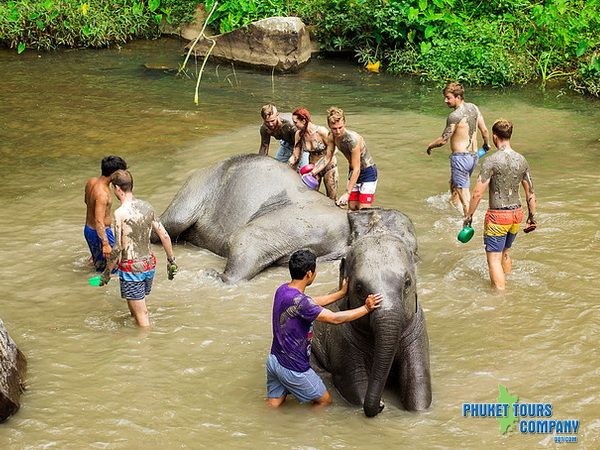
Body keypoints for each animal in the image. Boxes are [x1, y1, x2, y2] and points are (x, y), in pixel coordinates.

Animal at [310, 209, 432, 416]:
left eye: (407, 283)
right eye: (359, 288)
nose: (382, 404)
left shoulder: (417, 329)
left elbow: (418, 382)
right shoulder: (341, 338)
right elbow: (354, 383)